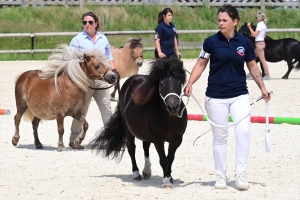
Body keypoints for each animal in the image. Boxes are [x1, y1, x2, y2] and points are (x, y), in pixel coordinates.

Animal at [89, 57, 188, 188]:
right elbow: (163, 159)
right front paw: (166, 181)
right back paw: (136, 174)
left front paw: (170, 178)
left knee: (145, 146)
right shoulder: (158, 138)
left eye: (178, 83)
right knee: (131, 147)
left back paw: (146, 171)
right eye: (161, 84)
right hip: (128, 128)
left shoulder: (177, 139)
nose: (173, 107)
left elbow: (170, 158)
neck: (169, 118)